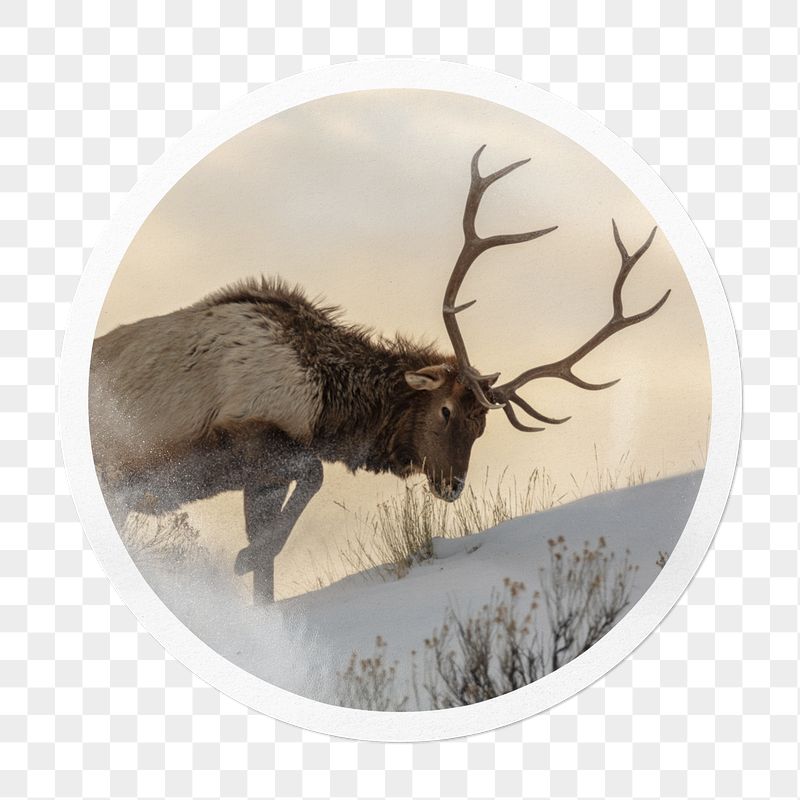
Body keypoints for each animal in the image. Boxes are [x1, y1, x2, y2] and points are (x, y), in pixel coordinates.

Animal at [89, 145, 670, 604]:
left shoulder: (261, 475)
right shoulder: (246, 432)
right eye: (445, 409)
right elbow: (310, 481)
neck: (326, 404)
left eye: (482, 426)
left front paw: (256, 577)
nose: (453, 486)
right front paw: (242, 557)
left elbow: (270, 570)